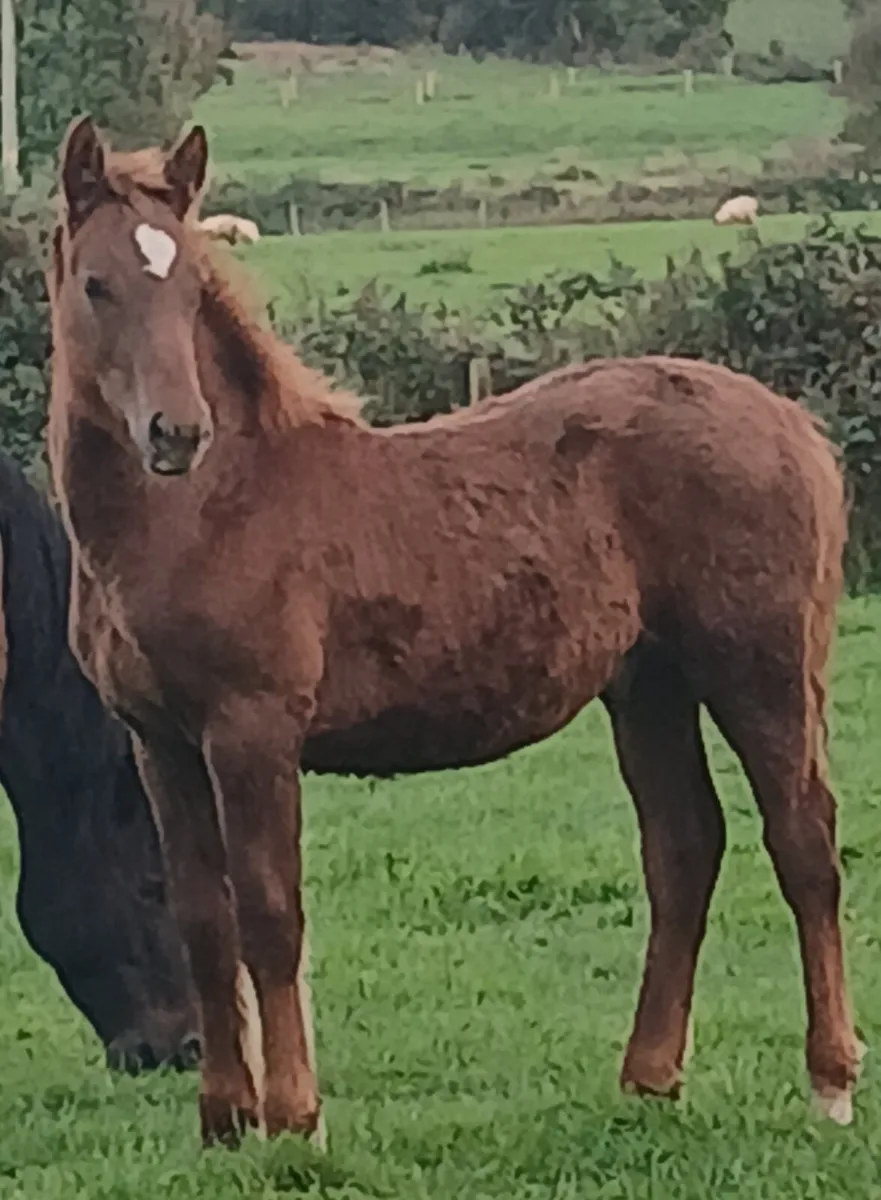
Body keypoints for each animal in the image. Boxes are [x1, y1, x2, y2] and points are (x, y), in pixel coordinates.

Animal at [47, 115, 861, 1149]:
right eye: (96, 283)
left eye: (192, 282)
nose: (177, 434)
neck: (209, 510)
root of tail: (794, 425)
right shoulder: (160, 742)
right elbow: (202, 917)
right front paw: (224, 1124)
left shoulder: (251, 730)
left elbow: (270, 914)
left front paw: (297, 1121)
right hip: (648, 685)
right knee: (683, 848)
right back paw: (647, 1079)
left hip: (759, 672)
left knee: (803, 844)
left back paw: (830, 1083)